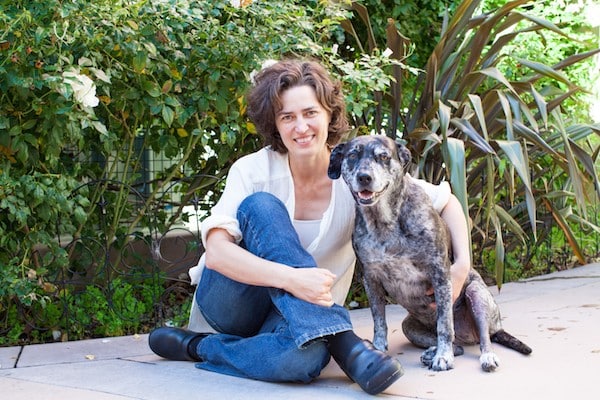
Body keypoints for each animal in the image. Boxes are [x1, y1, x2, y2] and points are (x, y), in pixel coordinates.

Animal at [328, 135, 528, 372]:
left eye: (383, 157)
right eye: (352, 155)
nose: (364, 177)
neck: (384, 221)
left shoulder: (439, 273)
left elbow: (444, 324)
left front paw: (443, 356)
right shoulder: (371, 278)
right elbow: (379, 321)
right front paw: (377, 349)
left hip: (477, 295)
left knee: (480, 338)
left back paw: (483, 356)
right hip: (409, 326)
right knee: (457, 345)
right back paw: (432, 352)